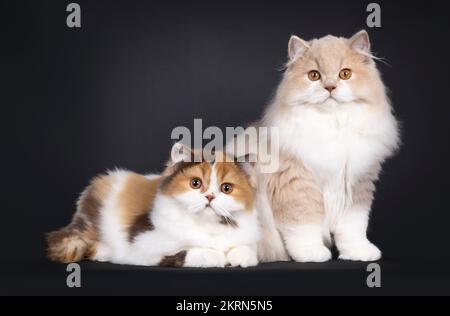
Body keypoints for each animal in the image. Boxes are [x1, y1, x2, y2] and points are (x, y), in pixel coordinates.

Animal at [47, 144, 258, 268]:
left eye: (226, 188)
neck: (207, 227)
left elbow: (248, 249)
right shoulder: (142, 246)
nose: (210, 196)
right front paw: (216, 257)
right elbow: (187, 252)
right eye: (195, 183)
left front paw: (239, 256)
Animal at [253, 30, 400, 262]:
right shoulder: (297, 184)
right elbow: (304, 226)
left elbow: (353, 228)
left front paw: (359, 252)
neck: (333, 126)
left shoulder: (357, 185)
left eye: (345, 74)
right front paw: (311, 254)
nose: (330, 87)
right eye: (314, 75)